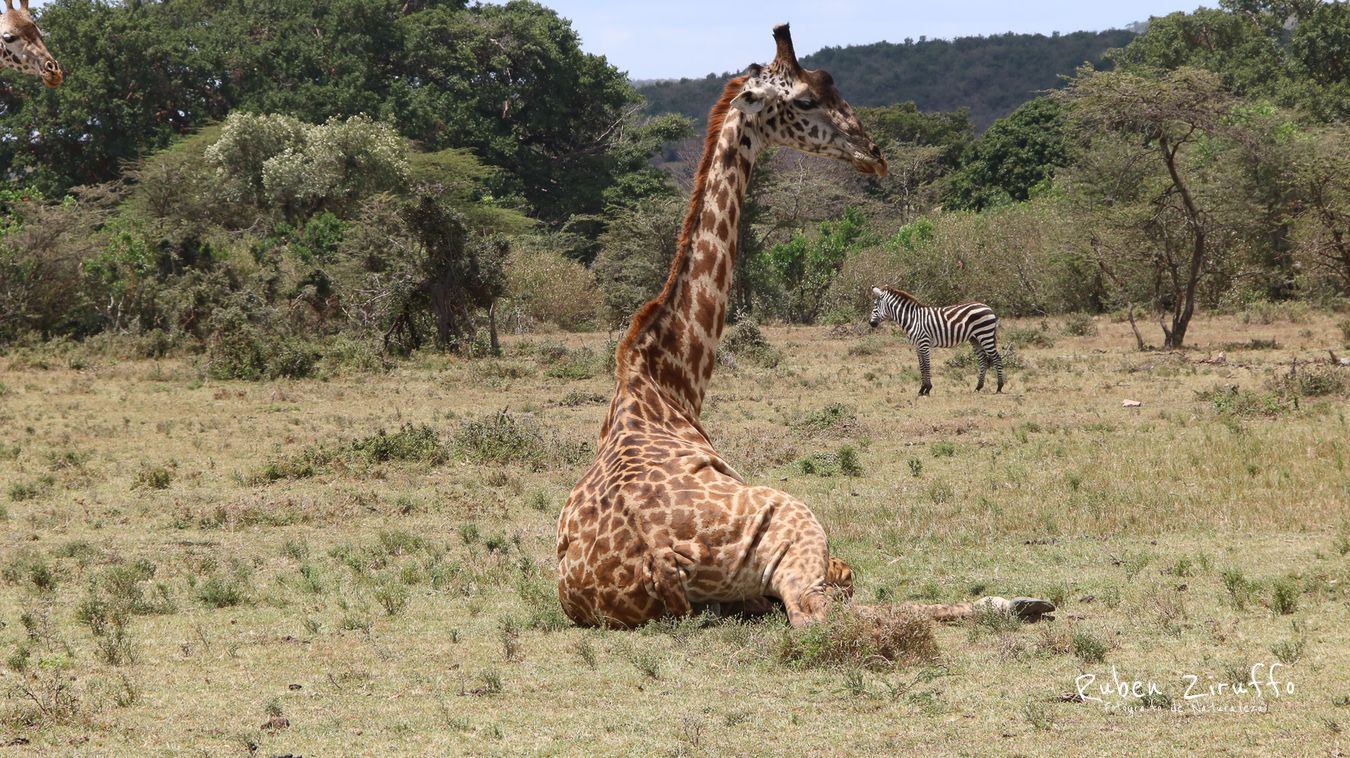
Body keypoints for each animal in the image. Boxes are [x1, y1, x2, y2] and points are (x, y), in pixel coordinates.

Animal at [864, 285, 1004, 397]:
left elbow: (926, 365)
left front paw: (927, 389)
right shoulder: (917, 346)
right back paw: (978, 387)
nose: (871, 323)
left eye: (875, 305)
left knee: (996, 358)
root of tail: (988, 307)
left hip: (985, 334)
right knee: (983, 359)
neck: (913, 319)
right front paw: (922, 390)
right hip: (975, 338)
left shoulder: (924, 343)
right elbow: (921, 367)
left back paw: (999, 387)